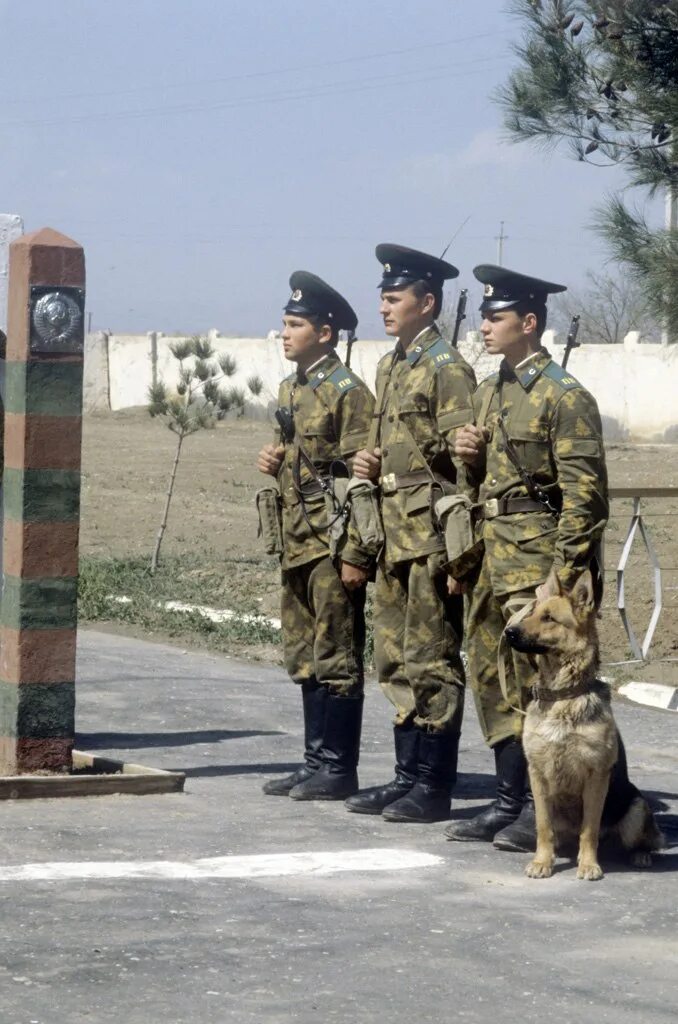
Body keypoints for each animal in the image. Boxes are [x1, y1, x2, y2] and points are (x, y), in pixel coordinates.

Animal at [503, 569, 663, 880]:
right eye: (532, 613)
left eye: (549, 618)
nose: (509, 632)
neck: (563, 696)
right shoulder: (538, 777)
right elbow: (543, 827)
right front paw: (542, 861)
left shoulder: (596, 777)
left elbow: (588, 830)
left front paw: (589, 864)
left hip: (636, 809)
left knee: (645, 841)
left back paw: (640, 855)